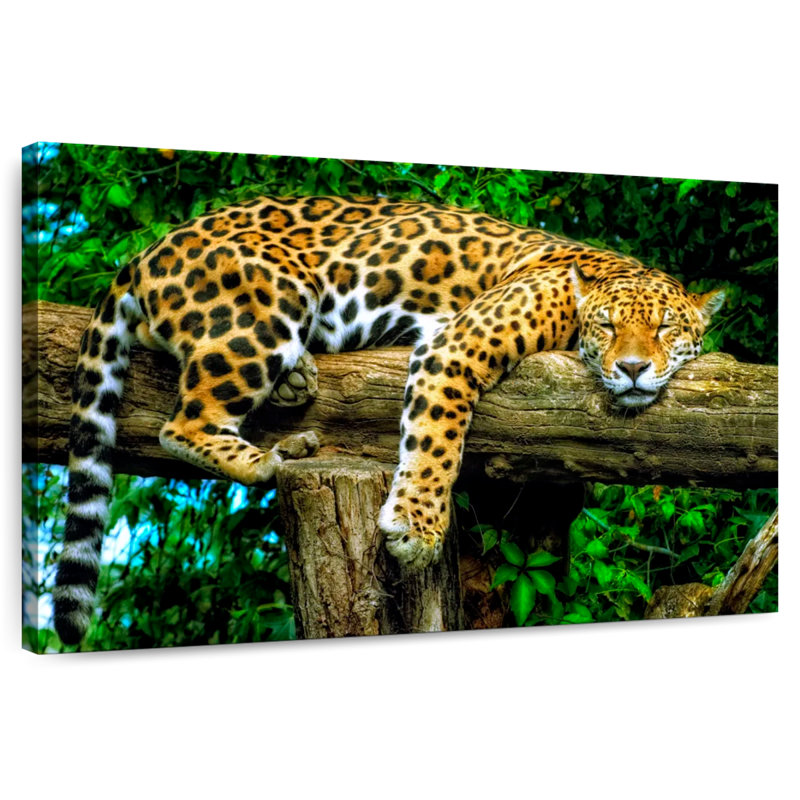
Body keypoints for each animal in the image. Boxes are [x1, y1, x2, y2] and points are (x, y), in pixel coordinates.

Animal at [54, 194, 725, 644]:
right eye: (608, 326)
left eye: (667, 328)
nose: (633, 368)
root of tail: (146, 250)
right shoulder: (457, 345)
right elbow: (437, 442)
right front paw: (416, 529)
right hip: (263, 309)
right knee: (183, 424)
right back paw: (276, 456)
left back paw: (298, 382)